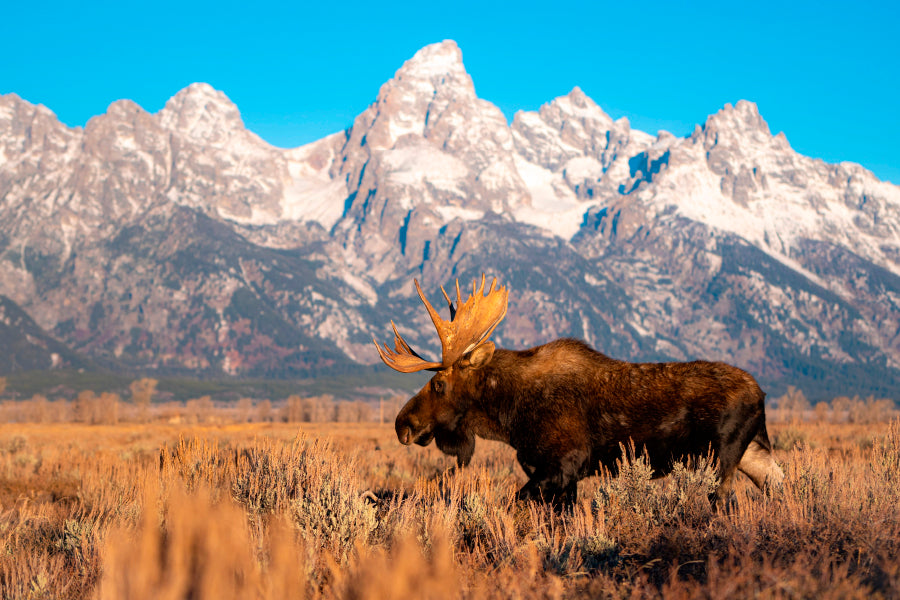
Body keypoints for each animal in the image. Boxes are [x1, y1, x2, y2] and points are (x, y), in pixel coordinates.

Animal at [372, 276, 780, 506]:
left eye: (438, 383)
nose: (402, 424)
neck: (509, 414)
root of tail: (761, 395)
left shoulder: (564, 463)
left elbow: (516, 503)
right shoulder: (554, 474)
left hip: (721, 458)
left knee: (723, 504)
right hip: (754, 453)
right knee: (778, 486)